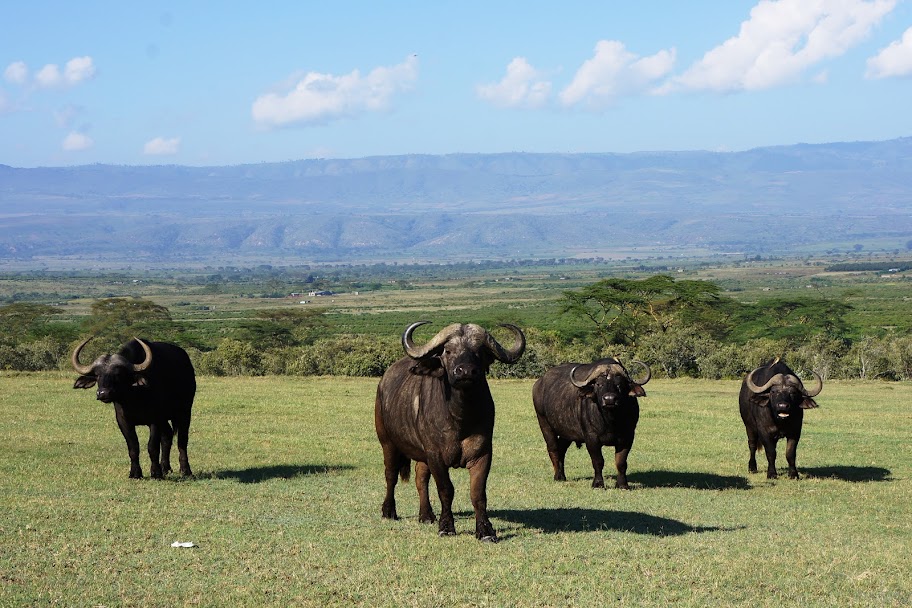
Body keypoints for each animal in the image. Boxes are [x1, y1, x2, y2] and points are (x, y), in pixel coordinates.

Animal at [72, 338, 196, 480]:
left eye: (118, 374)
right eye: (97, 375)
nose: (103, 393)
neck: (134, 397)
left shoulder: (155, 420)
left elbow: (152, 447)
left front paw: (155, 473)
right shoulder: (123, 421)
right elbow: (133, 447)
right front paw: (135, 473)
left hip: (185, 412)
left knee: (182, 440)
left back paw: (185, 470)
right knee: (167, 437)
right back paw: (165, 468)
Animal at [374, 324, 524, 540]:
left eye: (479, 352)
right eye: (448, 351)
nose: (466, 371)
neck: (460, 418)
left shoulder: (483, 454)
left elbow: (478, 493)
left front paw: (485, 530)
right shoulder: (436, 455)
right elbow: (446, 490)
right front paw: (446, 526)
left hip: (422, 455)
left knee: (421, 478)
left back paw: (426, 515)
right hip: (387, 442)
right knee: (391, 475)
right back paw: (389, 511)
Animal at [532, 356, 652, 490]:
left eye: (619, 385)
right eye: (599, 384)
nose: (609, 399)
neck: (610, 421)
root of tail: (539, 383)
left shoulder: (627, 437)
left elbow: (621, 462)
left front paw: (622, 484)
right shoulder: (591, 438)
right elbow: (598, 461)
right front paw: (598, 483)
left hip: (567, 433)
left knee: (562, 449)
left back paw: (562, 475)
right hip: (544, 423)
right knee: (553, 449)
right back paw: (557, 476)